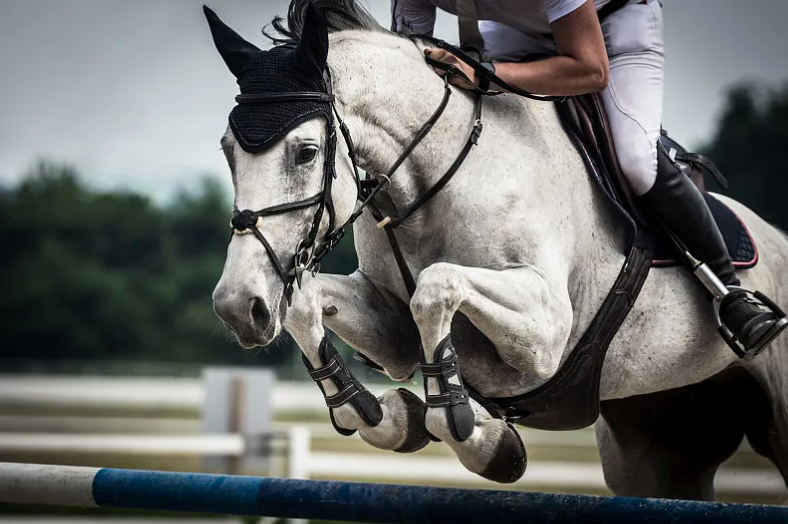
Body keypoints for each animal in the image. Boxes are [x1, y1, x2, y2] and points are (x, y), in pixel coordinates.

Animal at [207, 0, 788, 500]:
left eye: (306, 152)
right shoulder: (391, 331)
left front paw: (476, 434)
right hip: (657, 442)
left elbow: (436, 286)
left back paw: (748, 315)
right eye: (228, 151)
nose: (237, 308)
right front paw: (386, 417)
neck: (435, 178)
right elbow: (305, 306)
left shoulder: (547, 331)